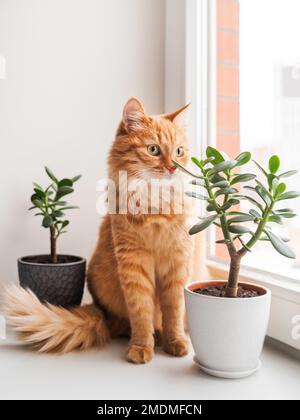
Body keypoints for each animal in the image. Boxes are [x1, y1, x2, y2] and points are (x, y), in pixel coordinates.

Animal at [4, 98, 193, 364]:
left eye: (179, 152)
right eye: (153, 150)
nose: (172, 169)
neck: (154, 205)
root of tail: (101, 312)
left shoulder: (178, 263)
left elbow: (174, 312)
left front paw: (175, 342)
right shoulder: (133, 265)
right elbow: (141, 314)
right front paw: (141, 347)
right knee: (124, 323)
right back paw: (151, 335)